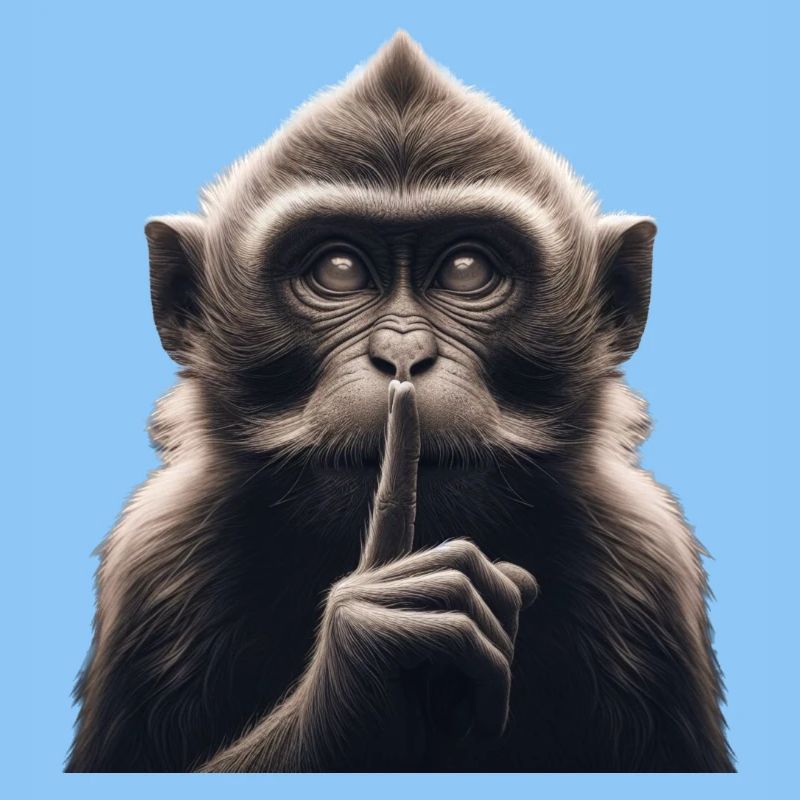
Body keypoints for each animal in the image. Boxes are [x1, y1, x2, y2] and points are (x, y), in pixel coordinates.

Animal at [66, 32, 734, 772]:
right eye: (338, 270)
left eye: (467, 270)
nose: (403, 354)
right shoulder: (155, 561)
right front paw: (372, 648)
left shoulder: (648, 563)